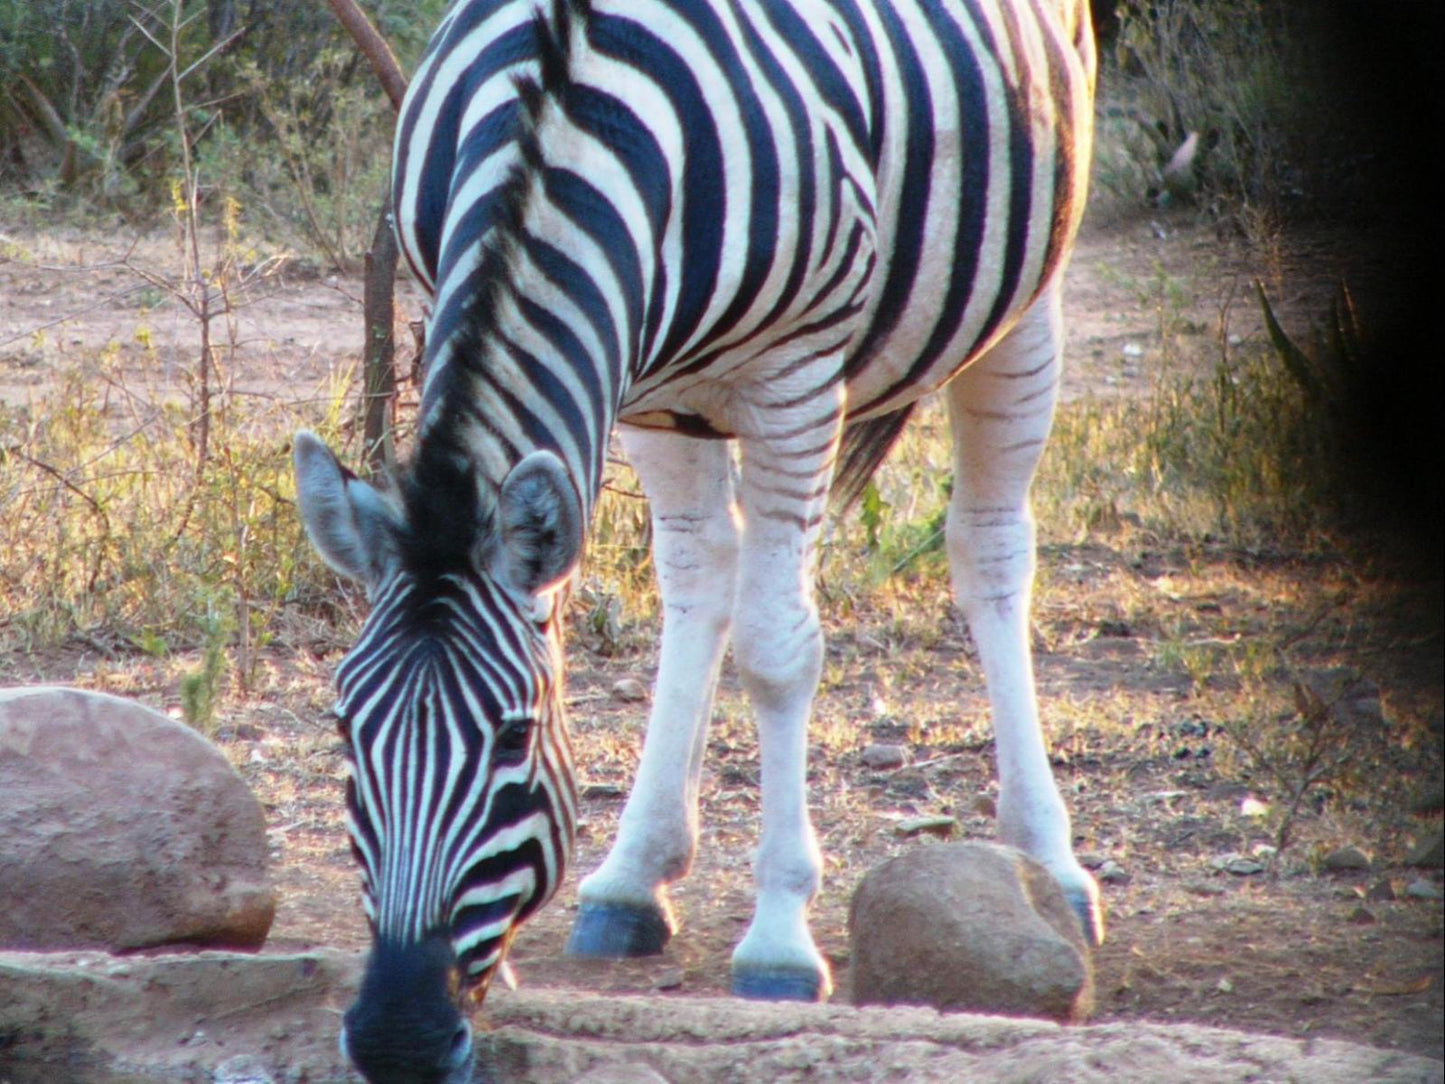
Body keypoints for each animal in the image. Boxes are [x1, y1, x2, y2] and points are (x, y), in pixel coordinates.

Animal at [299, 2, 1098, 1081]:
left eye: (512, 738)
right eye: (346, 728)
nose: (398, 1037)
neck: (562, 116)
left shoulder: (792, 378)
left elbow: (774, 650)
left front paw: (778, 941)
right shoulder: (635, 381)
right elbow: (687, 589)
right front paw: (600, 902)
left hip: (1025, 293)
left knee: (989, 548)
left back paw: (1047, 862)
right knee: (707, 574)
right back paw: (635, 874)